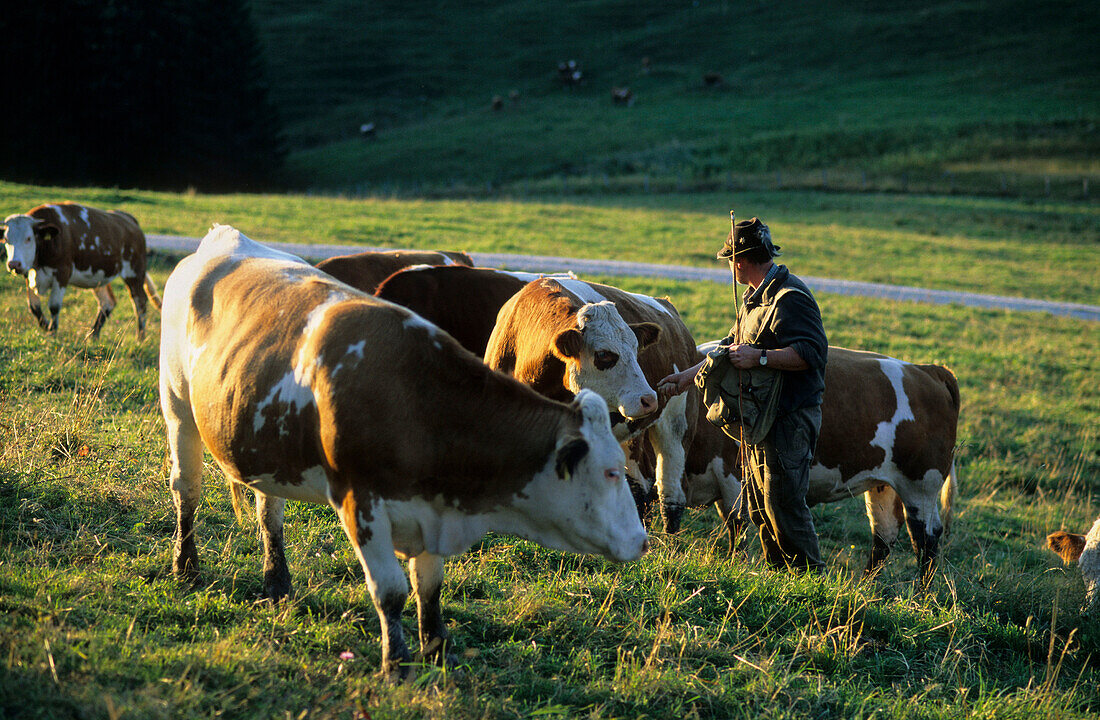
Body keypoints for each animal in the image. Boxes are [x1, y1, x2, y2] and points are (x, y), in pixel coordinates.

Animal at [2, 201, 160, 338]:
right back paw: (92, 336)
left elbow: (54, 306)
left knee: (140, 302)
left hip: (134, 272)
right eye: (6, 239)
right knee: (107, 302)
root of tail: (126, 217)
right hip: (99, 275)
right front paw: (47, 327)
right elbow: (34, 307)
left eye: (29, 238)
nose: (14, 264)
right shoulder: (28, 273)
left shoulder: (62, 273)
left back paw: (140, 338)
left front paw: (53, 333)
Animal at [488, 277, 699, 534]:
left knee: (671, 488)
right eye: (604, 354)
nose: (648, 399)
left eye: (636, 349)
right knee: (640, 483)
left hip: (677, 424)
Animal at [673, 340, 959, 584]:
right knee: (884, 536)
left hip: (920, 484)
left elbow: (737, 527)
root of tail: (929, 370)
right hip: (884, 485)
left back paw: (920, 596)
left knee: (926, 537)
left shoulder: (732, 478)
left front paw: (736, 566)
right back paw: (863, 589)